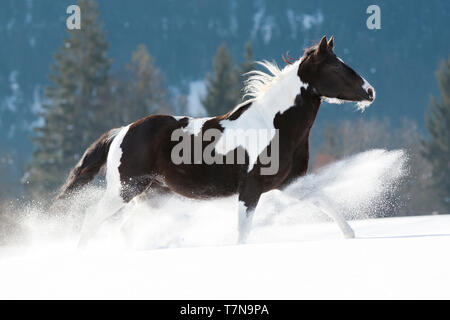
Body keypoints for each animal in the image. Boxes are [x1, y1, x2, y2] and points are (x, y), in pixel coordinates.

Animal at [57, 36, 376, 245]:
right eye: (336, 68)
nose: (370, 91)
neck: (275, 124)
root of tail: (122, 131)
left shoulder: (290, 182)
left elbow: (326, 201)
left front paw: (351, 236)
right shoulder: (250, 189)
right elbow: (243, 232)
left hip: (151, 194)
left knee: (125, 228)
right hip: (124, 190)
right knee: (92, 220)